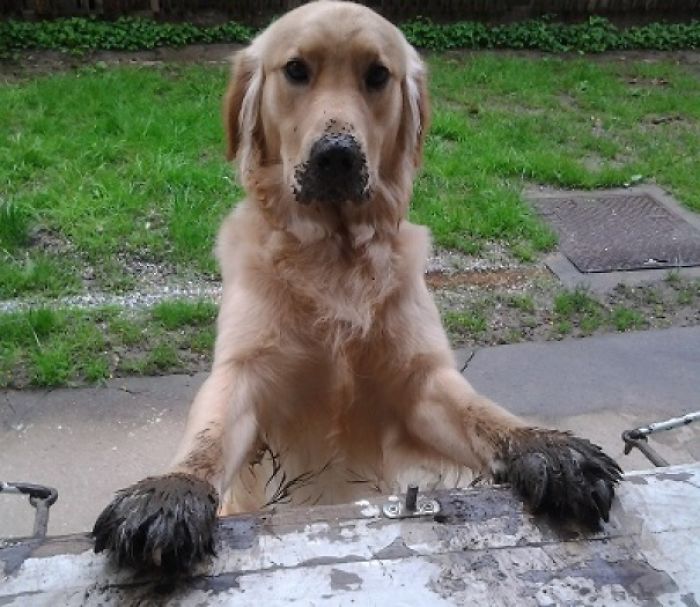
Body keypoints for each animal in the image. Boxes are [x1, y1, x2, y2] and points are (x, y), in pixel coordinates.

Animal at [91, 0, 616, 572]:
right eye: (296, 69)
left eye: (377, 75)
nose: (337, 155)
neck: (334, 254)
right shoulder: (244, 374)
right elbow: (208, 439)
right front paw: (171, 492)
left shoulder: (419, 384)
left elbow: (483, 415)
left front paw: (547, 448)